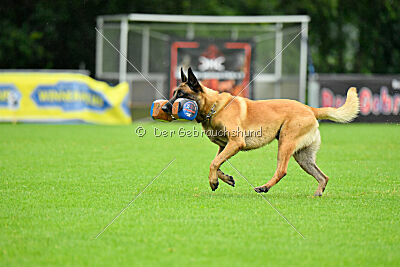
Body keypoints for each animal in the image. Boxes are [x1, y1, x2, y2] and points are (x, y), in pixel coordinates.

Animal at [162, 67, 360, 197]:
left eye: (182, 95)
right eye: (174, 93)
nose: (164, 107)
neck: (215, 107)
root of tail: (310, 109)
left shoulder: (236, 143)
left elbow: (213, 163)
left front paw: (214, 181)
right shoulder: (224, 146)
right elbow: (217, 163)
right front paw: (225, 178)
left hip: (285, 144)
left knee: (282, 171)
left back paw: (264, 187)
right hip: (303, 156)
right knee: (323, 176)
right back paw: (318, 193)